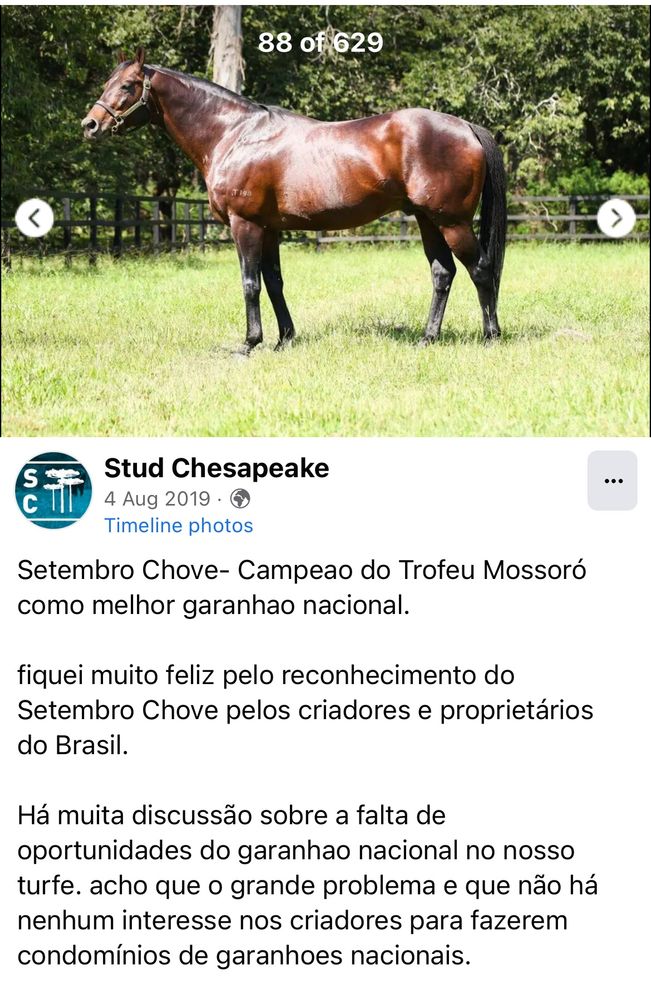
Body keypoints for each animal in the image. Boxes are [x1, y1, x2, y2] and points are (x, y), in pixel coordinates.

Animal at [82, 48, 507, 355]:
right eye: (108, 82)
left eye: (128, 86)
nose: (90, 125)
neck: (235, 135)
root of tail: (466, 126)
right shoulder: (269, 229)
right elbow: (274, 283)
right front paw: (284, 339)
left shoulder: (246, 225)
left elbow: (250, 283)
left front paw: (249, 343)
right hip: (426, 220)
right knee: (443, 274)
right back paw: (427, 338)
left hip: (451, 222)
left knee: (481, 269)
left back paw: (491, 337)